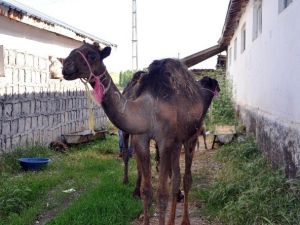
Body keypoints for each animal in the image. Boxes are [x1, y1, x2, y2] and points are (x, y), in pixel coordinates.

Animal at [62, 42, 219, 225]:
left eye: (92, 55)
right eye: (72, 51)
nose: (65, 66)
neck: (147, 110)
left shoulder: (165, 141)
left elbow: (162, 194)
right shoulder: (142, 140)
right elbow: (146, 190)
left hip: (192, 135)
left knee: (187, 178)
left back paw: (185, 220)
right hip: (177, 141)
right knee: (176, 180)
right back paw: (172, 219)